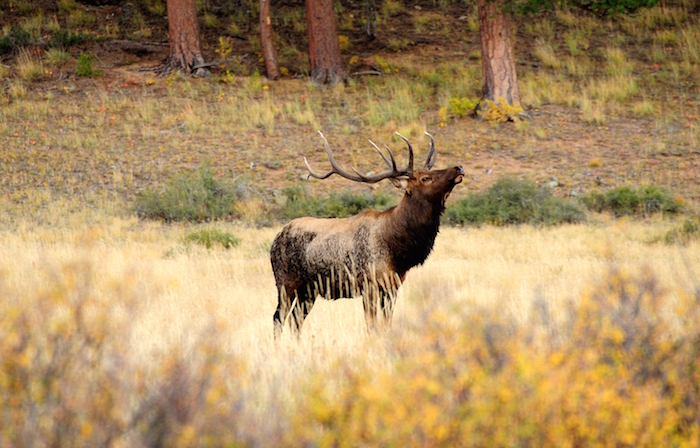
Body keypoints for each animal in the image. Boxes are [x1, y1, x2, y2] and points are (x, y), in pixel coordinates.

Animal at [270, 131, 464, 338]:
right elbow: (371, 326)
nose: (458, 167)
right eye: (425, 178)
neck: (398, 252)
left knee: (296, 320)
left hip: (308, 290)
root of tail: (275, 240)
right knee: (278, 318)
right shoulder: (368, 284)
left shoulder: (392, 286)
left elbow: (386, 324)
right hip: (285, 282)